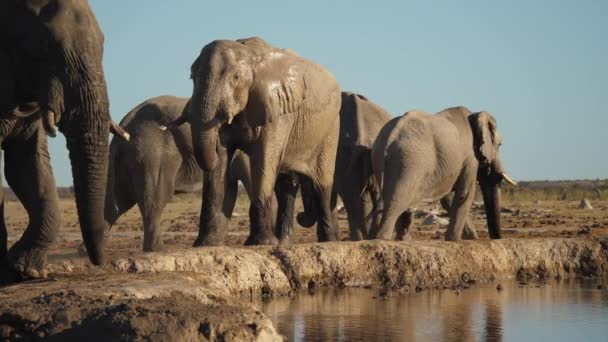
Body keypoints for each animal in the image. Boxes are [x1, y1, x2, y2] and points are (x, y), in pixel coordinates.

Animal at [167, 36, 342, 246]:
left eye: (235, 78)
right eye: (192, 77)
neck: (249, 55)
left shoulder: (278, 109)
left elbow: (264, 158)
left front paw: (262, 243)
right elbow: (221, 161)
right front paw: (205, 244)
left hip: (331, 127)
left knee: (321, 182)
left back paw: (328, 241)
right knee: (286, 186)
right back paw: (283, 242)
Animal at [368, 107, 516, 240]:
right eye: (500, 145)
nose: (496, 238)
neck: (474, 115)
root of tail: (390, 137)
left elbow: (448, 200)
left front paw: (469, 238)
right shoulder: (469, 158)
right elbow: (465, 194)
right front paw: (455, 240)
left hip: (382, 159)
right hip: (409, 160)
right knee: (397, 202)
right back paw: (384, 239)